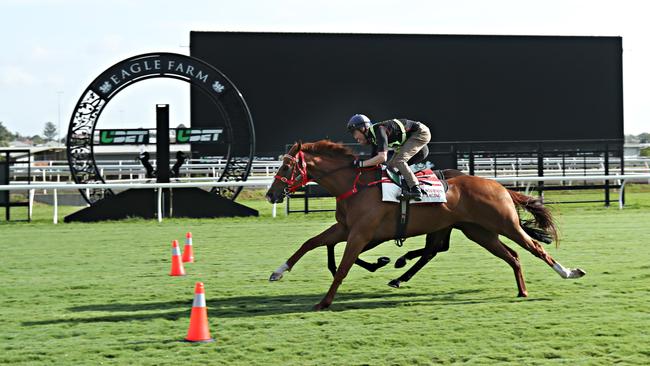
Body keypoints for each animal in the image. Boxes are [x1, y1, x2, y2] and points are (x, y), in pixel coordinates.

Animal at [266, 140, 584, 308]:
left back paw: (569, 272)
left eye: (288, 166)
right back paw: (522, 290)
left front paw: (324, 302)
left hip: (505, 224)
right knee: (513, 256)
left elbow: (343, 266)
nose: (271, 194)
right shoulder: (345, 229)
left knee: (534, 249)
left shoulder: (360, 233)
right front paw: (278, 271)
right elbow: (310, 243)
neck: (355, 185)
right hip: (479, 232)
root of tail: (500, 186)